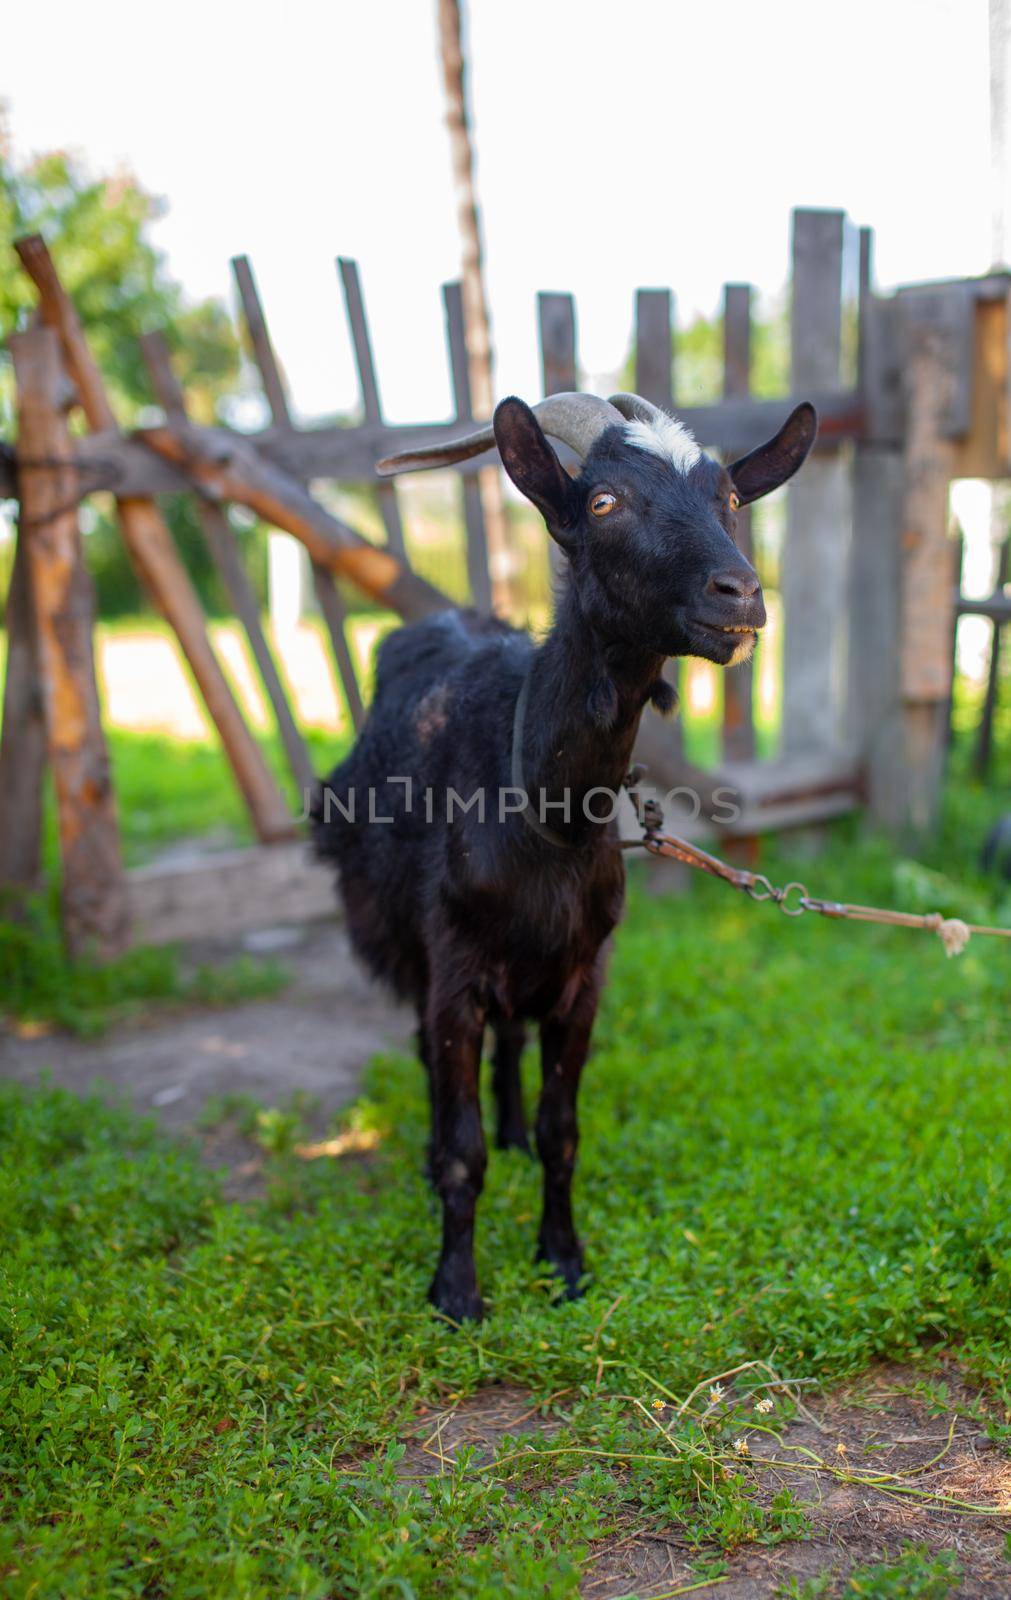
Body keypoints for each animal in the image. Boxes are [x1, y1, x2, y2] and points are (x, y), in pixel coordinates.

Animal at [311, 393, 819, 1318]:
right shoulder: (452, 969)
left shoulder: (583, 974)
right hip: (397, 930)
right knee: (428, 1053)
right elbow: (461, 1146)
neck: (539, 808)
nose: (741, 594)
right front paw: (457, 1290)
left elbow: (563, 1131)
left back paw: (509, 1127)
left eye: (729, 495)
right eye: (603, 501)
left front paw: (563, 1259)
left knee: (510, 1048)